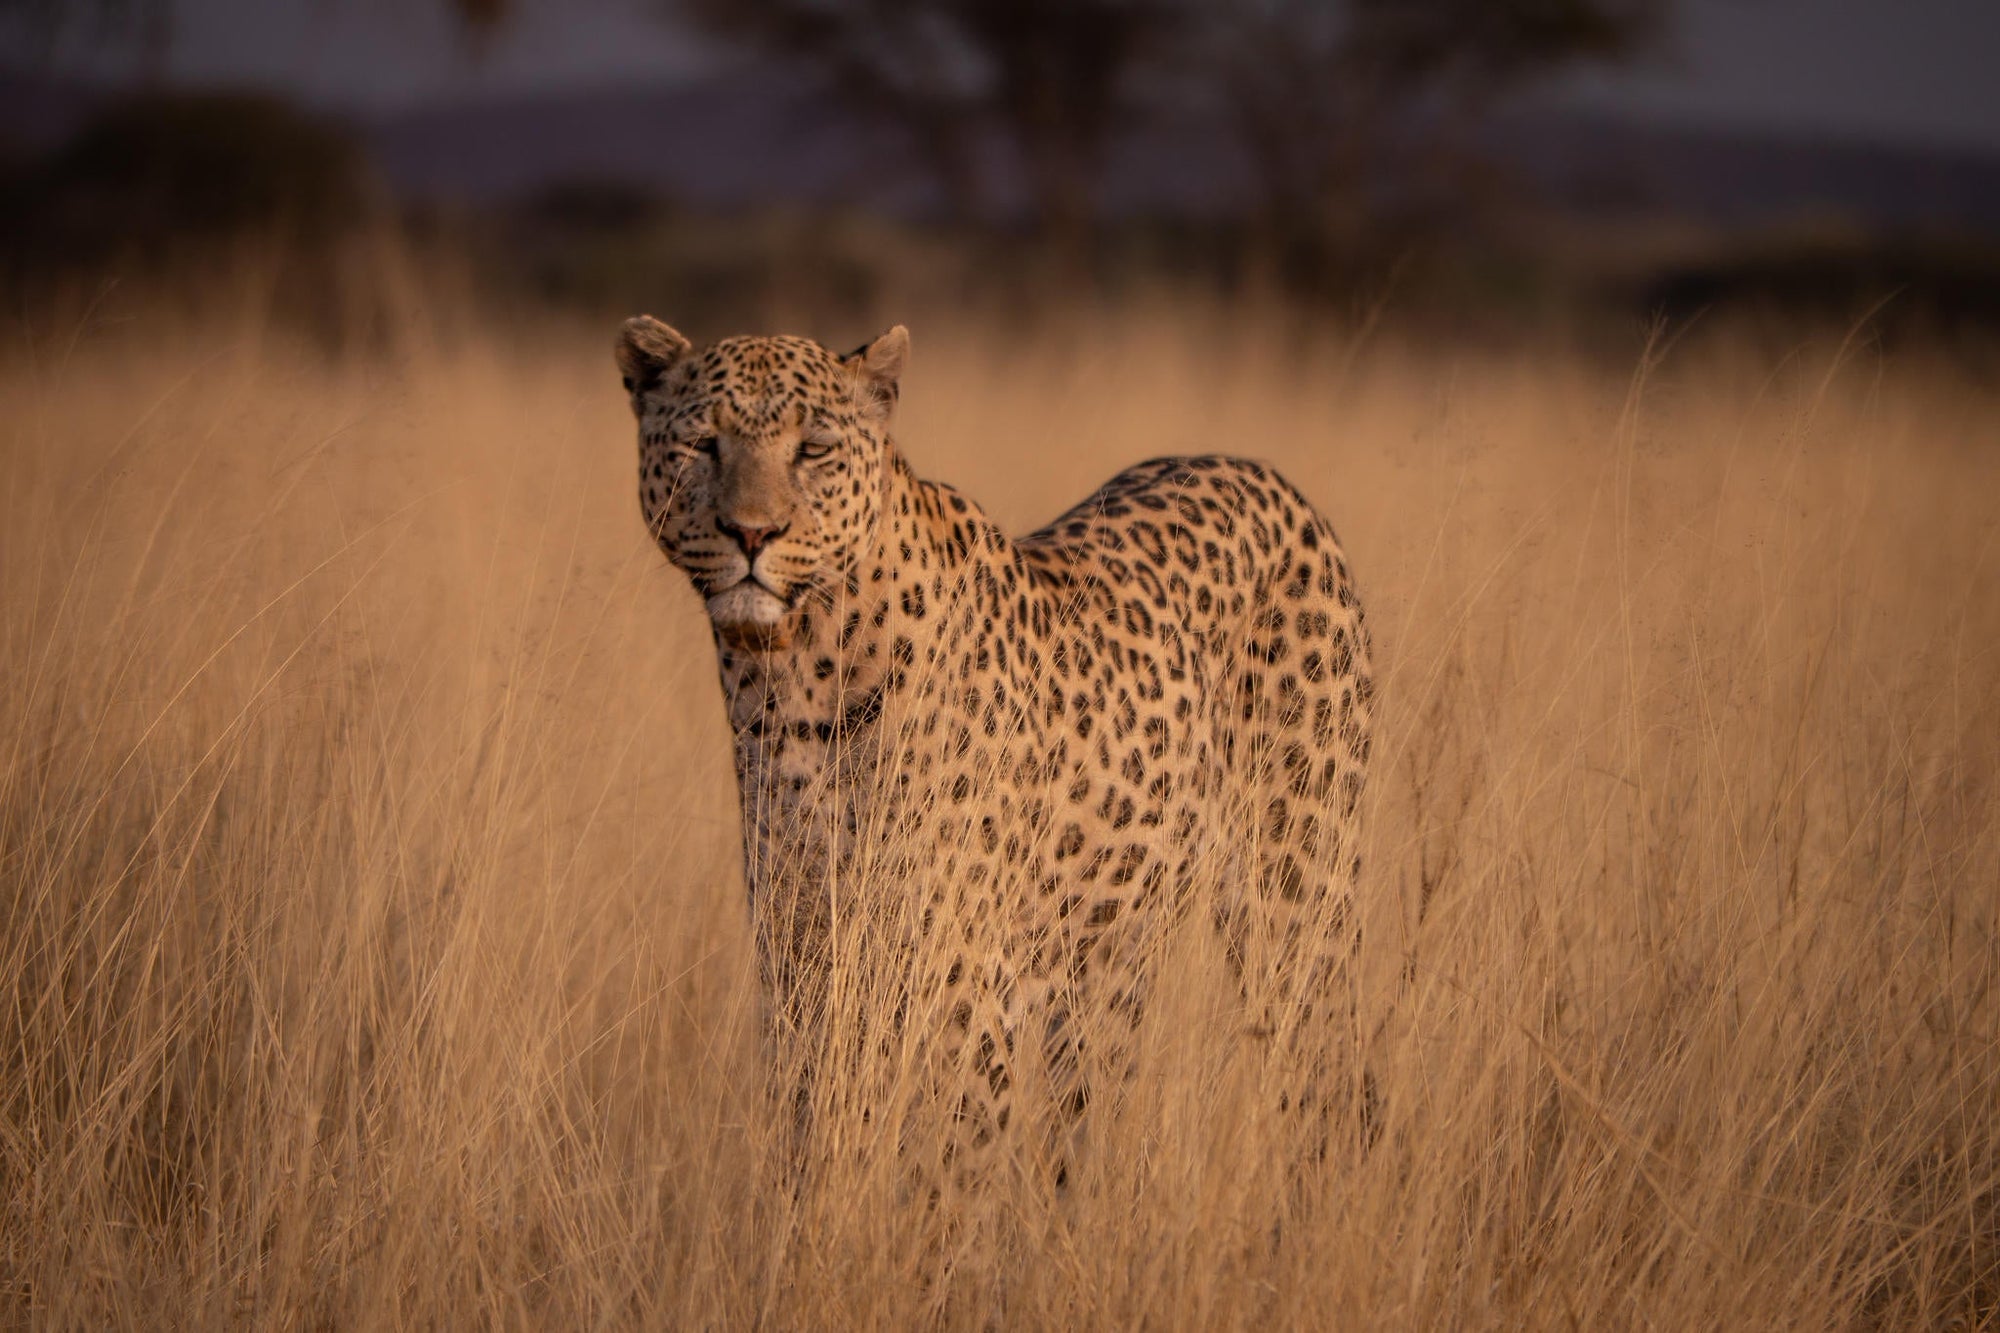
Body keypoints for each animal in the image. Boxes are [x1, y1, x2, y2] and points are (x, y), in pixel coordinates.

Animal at [618, 316, 1374, 1185]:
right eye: (702, 444)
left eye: (813, 449)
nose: (752, 532)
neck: (789, 673)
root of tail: (1255, 470)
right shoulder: (801, 956)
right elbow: (810, 1135)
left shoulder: (964, 990)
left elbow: (947, 1175)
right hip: (1109, 955)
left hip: (1298, 905)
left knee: (1328, 1079)